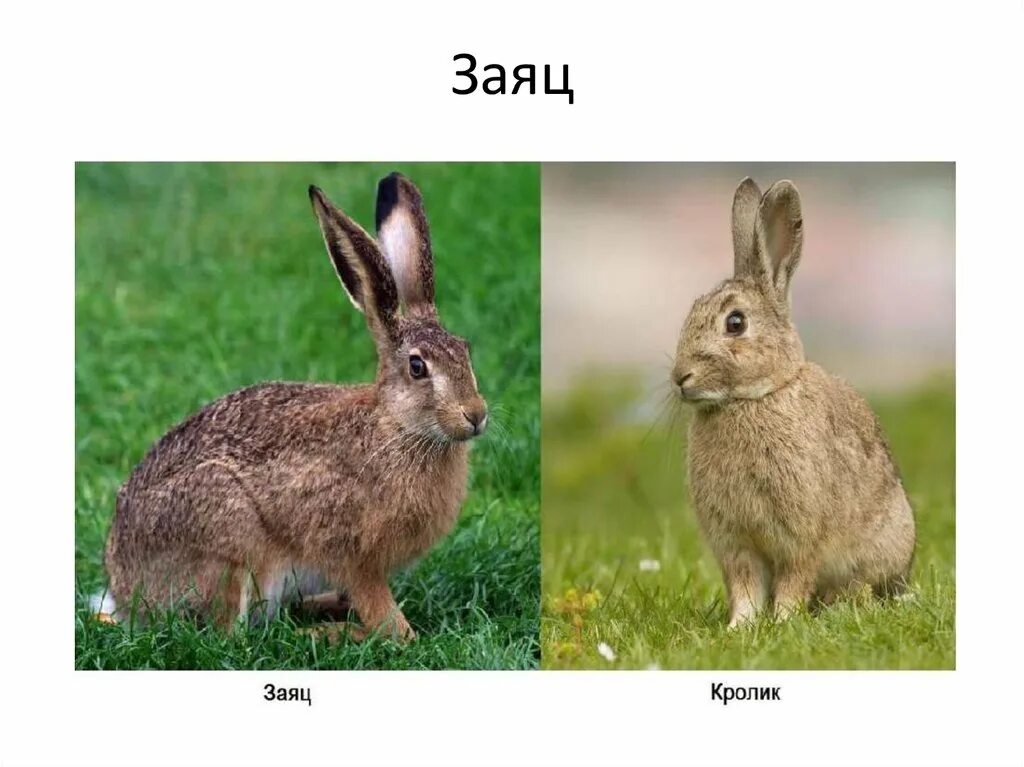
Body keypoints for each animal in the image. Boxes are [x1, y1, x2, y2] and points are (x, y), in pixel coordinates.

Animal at [97, 173, 488, 641]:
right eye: (417, 367)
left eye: (465, 350)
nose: (476, 415)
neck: (395, 426)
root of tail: (125, 592)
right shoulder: (352, 553)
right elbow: (386, 619)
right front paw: (393, 632)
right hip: (228, 539)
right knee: (234, 635)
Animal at [671, 178, 915, 628]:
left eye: (735, 323)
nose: (680, 377)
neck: (752, 398)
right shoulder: (736, 544)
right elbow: (745, 587)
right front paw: (740, 627)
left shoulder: (801, 536)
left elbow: (793, 579)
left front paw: (783, 621)